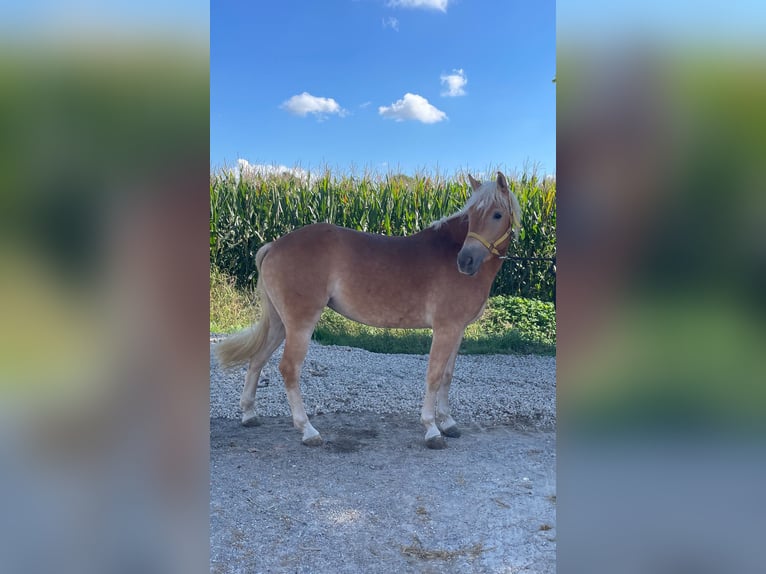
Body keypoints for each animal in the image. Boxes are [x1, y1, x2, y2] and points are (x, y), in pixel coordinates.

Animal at [219, 171, 524, 450]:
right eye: (472, 215)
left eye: (497, 215)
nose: (466, 261)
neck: (448, 251)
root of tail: (274, 245)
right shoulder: (445, 328)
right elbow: (434, 376)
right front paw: (431, 429)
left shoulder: (458, 330)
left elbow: (448, 376)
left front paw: (448, 423)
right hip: (300, 323)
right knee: (289, 369)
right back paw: (308, 430)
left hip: (280, 323)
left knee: (257, 359)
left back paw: (249, 414)